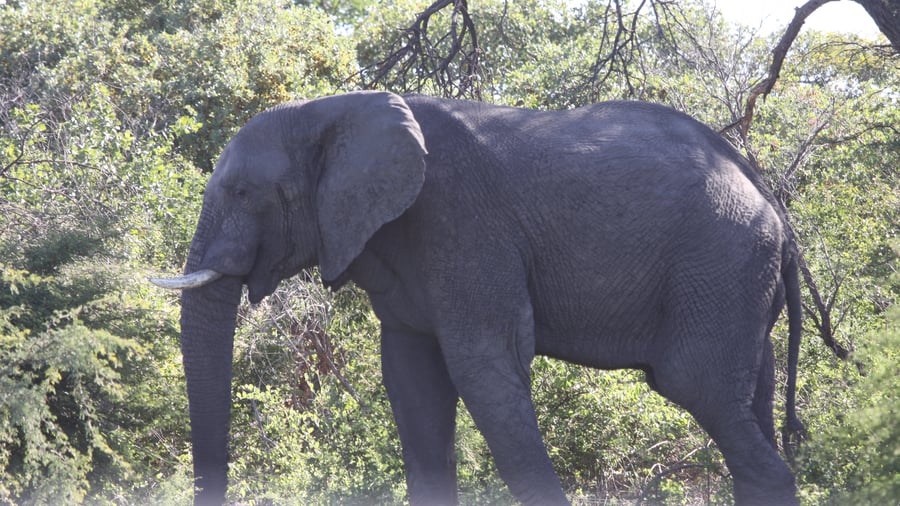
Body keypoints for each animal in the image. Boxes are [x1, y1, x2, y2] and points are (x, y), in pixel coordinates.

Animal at [151, 90, 805, 506]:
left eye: (242, 192)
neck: (330, 109)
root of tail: (772, 202)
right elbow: (412, 381)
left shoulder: (462, 220)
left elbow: (482, 366)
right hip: (739, 283)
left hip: (719, 263)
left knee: (699, 388)